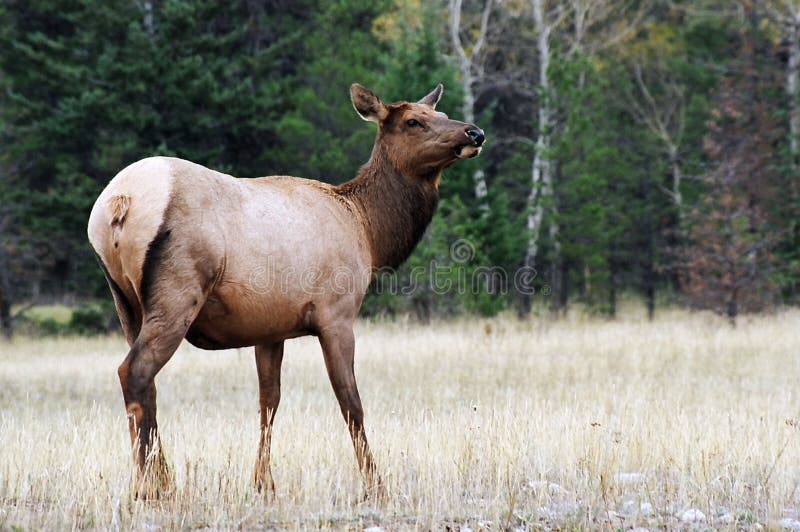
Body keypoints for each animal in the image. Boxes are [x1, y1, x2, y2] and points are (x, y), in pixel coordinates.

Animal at [89, 83, 488, 498]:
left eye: (441, 115)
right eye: (413, 121)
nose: (474, 133)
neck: (367, 230)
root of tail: (119, 204)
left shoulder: (270, 327)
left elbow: (269, 400)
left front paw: (263, 482)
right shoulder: (336, 313)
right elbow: (351, 402)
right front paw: (376, 484)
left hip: (125, 302)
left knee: (145, 384)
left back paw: (157, 479)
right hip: (179, 290)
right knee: (134, 371)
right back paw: (151, 487)